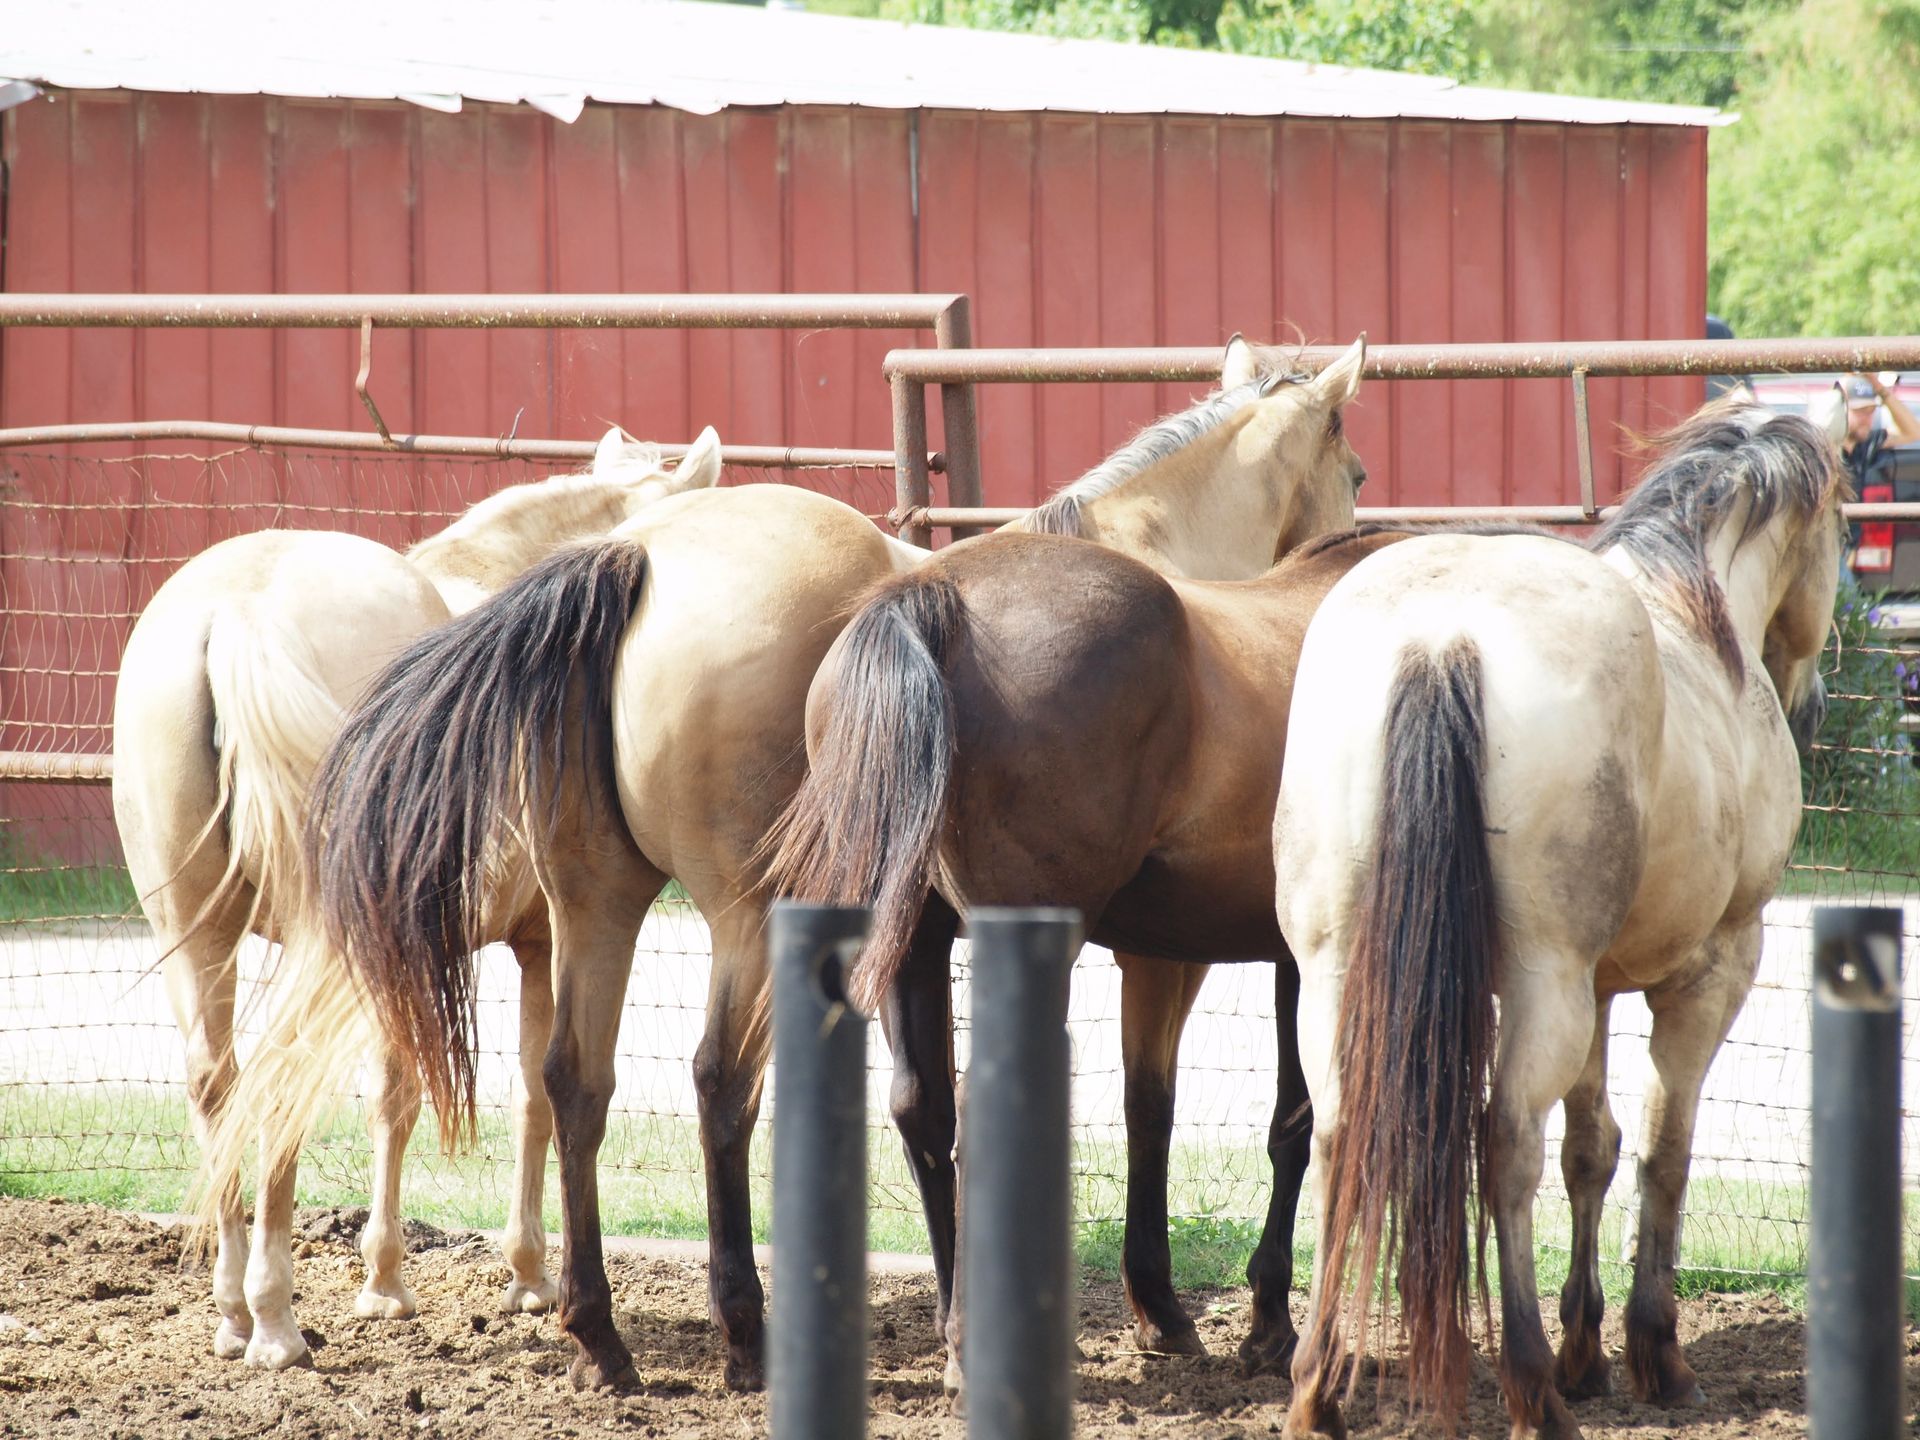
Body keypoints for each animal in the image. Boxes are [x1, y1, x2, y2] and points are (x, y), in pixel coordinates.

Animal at [113, 425, 722, 1369]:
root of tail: (242, 608)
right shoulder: (543, 939)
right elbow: (534, 1097)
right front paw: (523, 1276)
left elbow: (394, 1102)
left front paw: (384, 1282)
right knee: (278, 1080)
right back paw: (275, 1320)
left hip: (200, 935)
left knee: (220, 1084)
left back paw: (233, 1310)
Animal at [205, 335, 1372, 1394]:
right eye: (1354, 471)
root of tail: (634, 559)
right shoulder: (1161, 952)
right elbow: (1163, 1112)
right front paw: (1168, 1311)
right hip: (743, 916)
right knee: (719, 1084)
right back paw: (744, 1333)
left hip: (599, 903)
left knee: (572, 1082)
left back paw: (597, 1337)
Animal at [1271, 393, 1847, 1440]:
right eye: (1838, 529)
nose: (1811, 700)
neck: (1696, 616)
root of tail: (1439, 636)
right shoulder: (1711, 970)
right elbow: (1663, 1150)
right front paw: (1652, 1354)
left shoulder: (1604, 986)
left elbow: (1594, 1149)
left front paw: (1591, 1350)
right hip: (1545, 984)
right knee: (1504, 1143)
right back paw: (1533, 1387)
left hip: (1343, 975)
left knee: (1341, 1136)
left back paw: (1318, 1388)